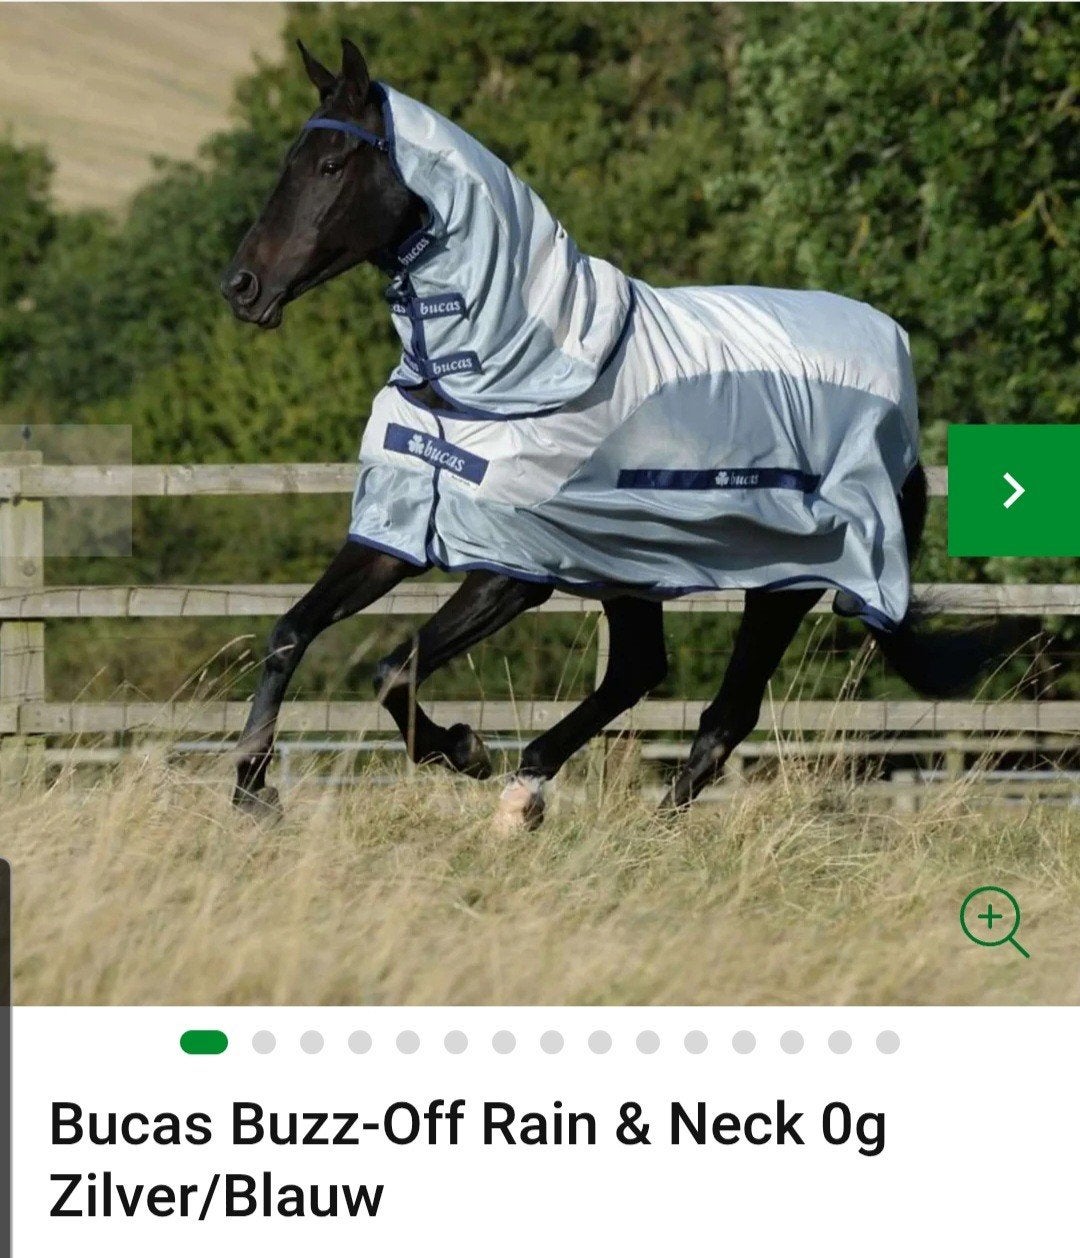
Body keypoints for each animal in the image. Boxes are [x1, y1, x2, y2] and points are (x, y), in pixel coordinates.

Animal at [220, 37, 1002, 831]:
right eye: (291, 159)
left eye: (330, 165)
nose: (242, 287)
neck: (497, 371)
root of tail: (901, 409)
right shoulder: (400, 531)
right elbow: (290, 633)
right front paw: (253, 791)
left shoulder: (512, 572)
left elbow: (392, 670)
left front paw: (466, 749)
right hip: (633, 564)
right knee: (639, 671)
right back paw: (530, 788)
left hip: (782, 579)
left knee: (724, 713)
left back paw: (610, 817)